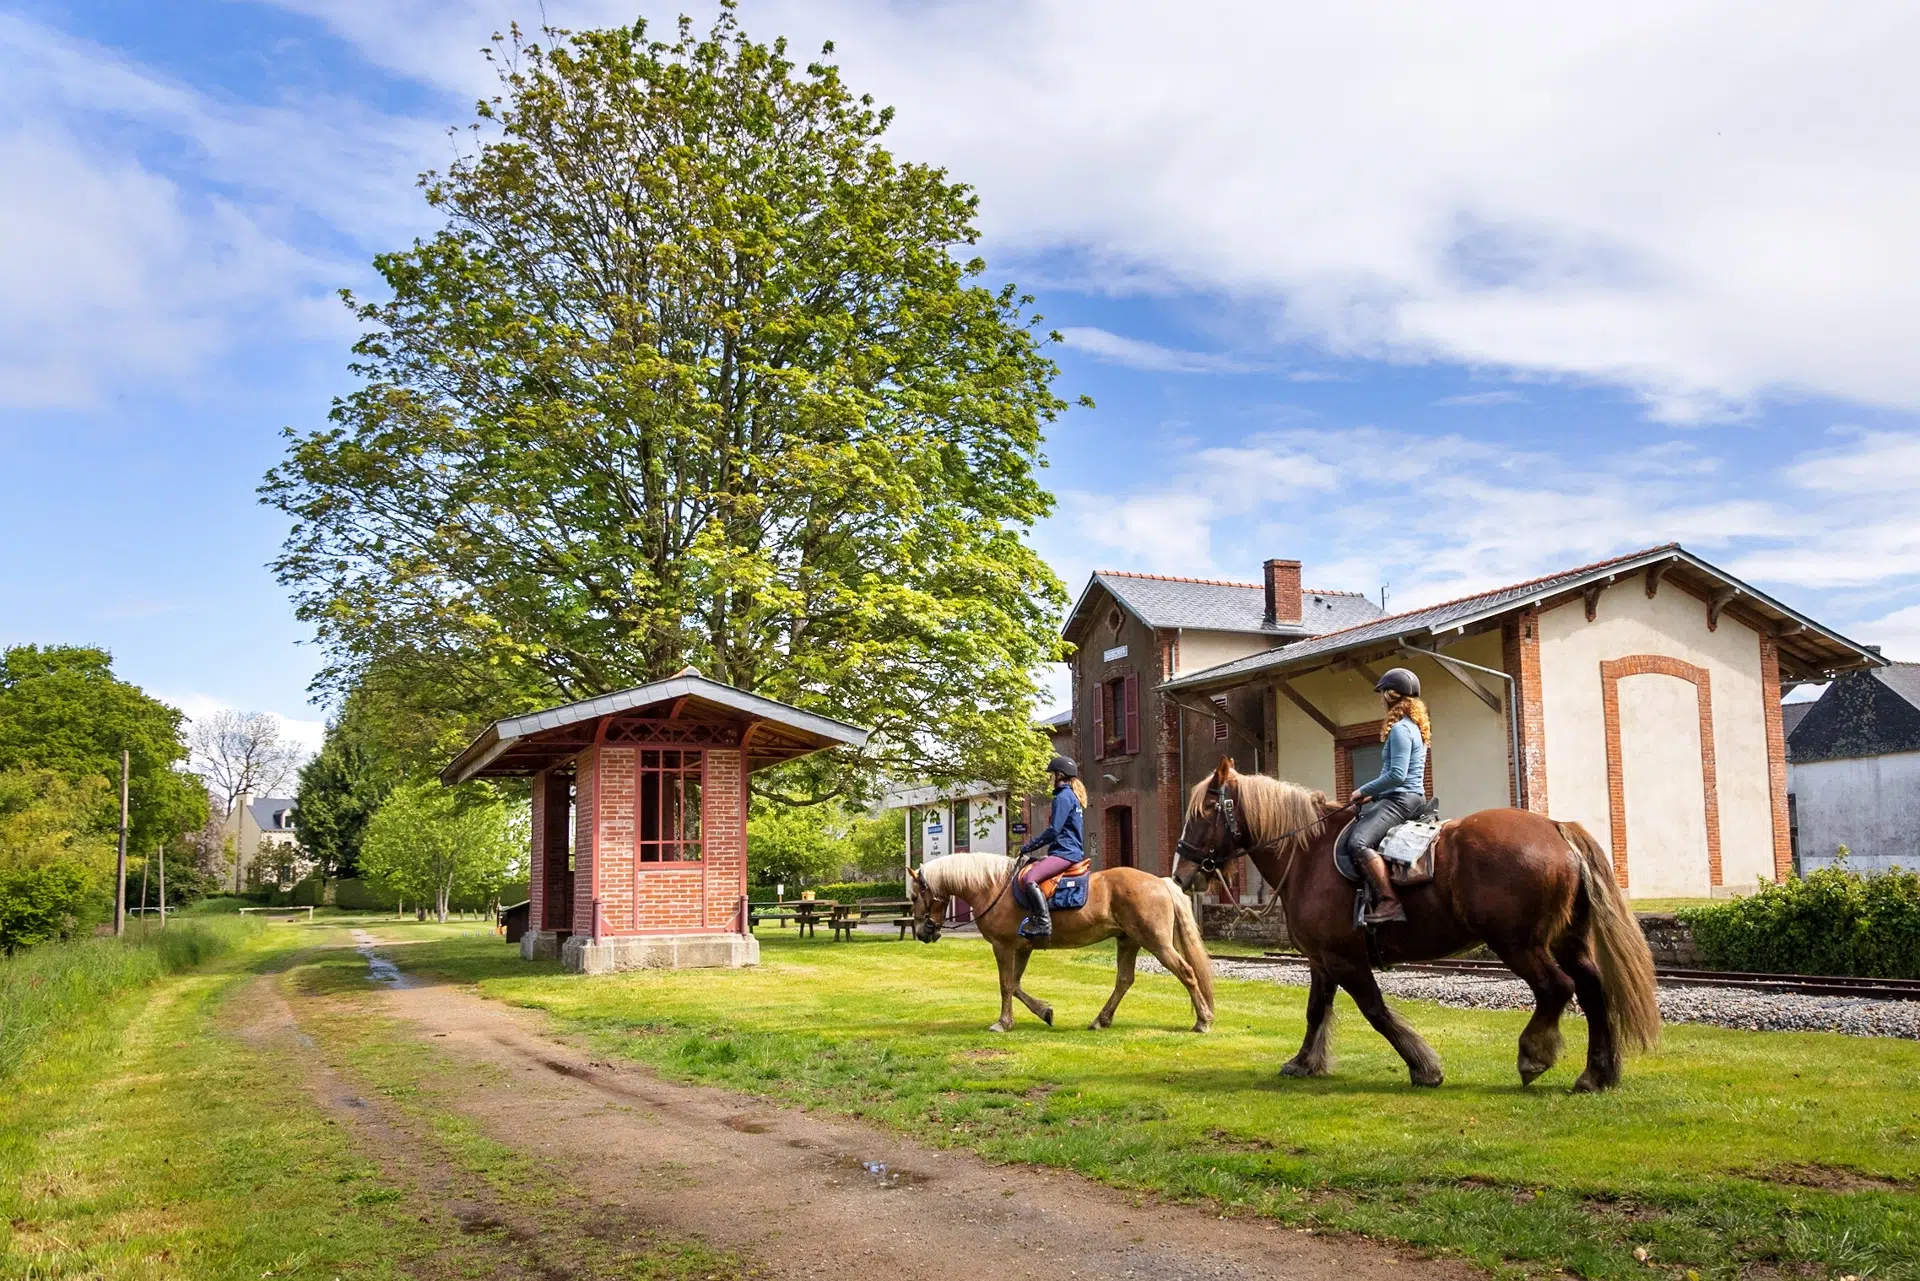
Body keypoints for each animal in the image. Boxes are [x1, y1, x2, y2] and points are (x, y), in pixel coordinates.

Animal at [902, 856, 1213, 1037]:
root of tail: (1160, 882)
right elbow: (1016, 985)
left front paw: (1003, 1022)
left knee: (1186, 972)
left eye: (916, 895)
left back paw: (1203, 1020)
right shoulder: (1022, 947)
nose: (922, 932)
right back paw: (1101, 1019)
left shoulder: (1004, 946)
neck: (993, 888)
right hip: (1128, 941)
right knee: (1124, 980)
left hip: (1156, 942)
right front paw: (1044, 1012)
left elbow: (1006, 985)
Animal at [1175, 760, 1658, 1090]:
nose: (1182, 873)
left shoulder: (1344, 959)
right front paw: (1304, 1062)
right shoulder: (1322, 959)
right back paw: (1596, 1075)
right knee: (1593, 990)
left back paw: (1534, 1055)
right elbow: (1316, 1011)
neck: (1307, 854)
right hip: (1565, 940)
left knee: (1556, 988)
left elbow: (1375, 1011)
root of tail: (1557, 827)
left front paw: (1423, 1066)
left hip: (1518, 943)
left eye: (1206, 810)